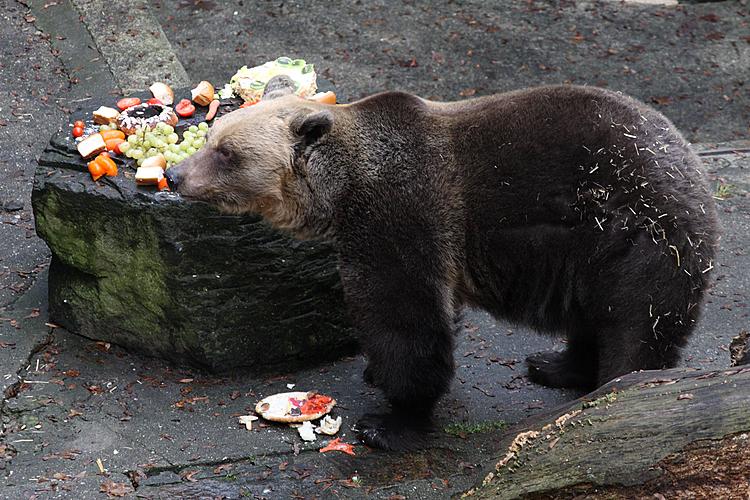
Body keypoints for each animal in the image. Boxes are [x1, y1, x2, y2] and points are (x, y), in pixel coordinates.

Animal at [166, 86, 724, 454]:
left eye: (227, 153)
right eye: (213, 137)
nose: (175, 173)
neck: (341, 193)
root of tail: (693, 166)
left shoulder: (401, 213)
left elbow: (404, 315)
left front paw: (389, 420)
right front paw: (375, 374)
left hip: (637, 234)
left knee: (636, 324)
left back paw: (616, 388)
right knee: (595, 317)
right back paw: (555, 364)